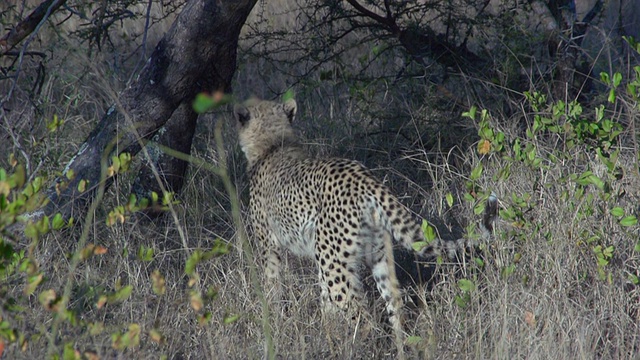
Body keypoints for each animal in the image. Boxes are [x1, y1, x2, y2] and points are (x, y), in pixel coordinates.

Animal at [232, 97, 498, 334]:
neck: (274, 145)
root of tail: (364, 177)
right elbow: (324, 300)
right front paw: (327, 332)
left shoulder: (271, 246)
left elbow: (272, 285)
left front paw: (275, 320)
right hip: (377, 255)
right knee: (396, 303)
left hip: (336, 264)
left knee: (359, 313)